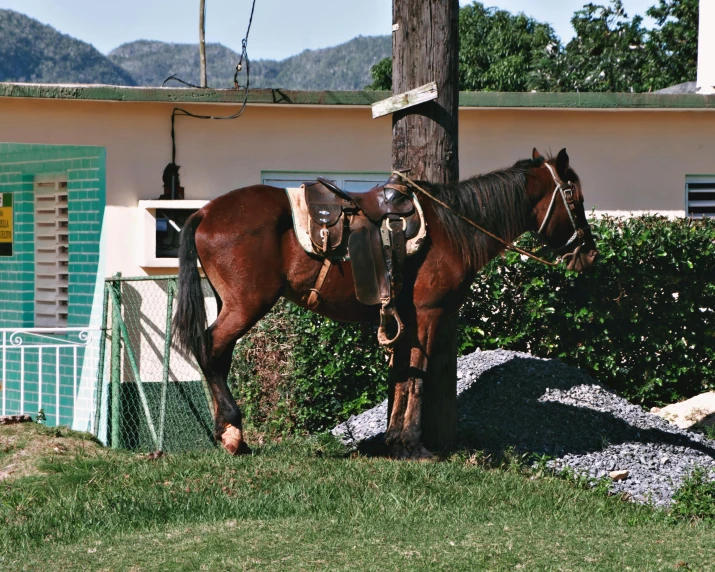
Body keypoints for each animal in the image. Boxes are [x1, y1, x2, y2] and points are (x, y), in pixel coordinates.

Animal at [173, 150, 600, 458]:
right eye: (573, 196)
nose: (590, 253)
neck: (452, 228)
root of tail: (205, 211)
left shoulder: (404, 316)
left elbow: (399, 372)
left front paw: (393, 439)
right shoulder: (429, 312)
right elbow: (417, 373)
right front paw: (412, 444)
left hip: (231, 303)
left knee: (218, 355)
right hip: (247, 304)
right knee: (211, 349)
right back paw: (232, 434)